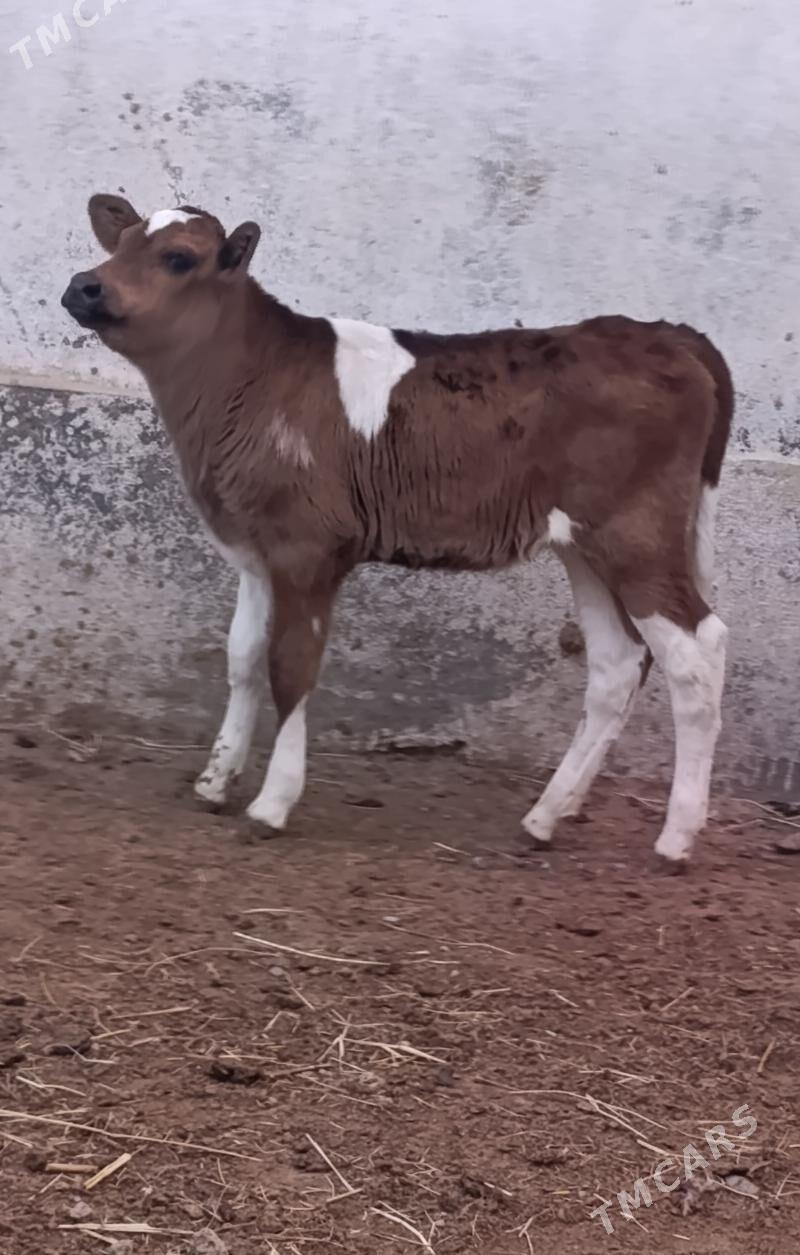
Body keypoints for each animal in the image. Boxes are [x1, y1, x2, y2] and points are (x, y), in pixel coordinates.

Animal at [61, 195, 733, 867]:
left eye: (178, 258)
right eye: (119, 243)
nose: (83, 286)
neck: (249, 382)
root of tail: (667, 333)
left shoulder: (309, 548)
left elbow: (290, 665)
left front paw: (272, 803)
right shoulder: (253, 548)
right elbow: (243, 656)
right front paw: (216, 780)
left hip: (637, 534)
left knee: (697, 651)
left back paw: (675, 837)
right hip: (583, 545)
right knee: (617, 664)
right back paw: (544, 817)